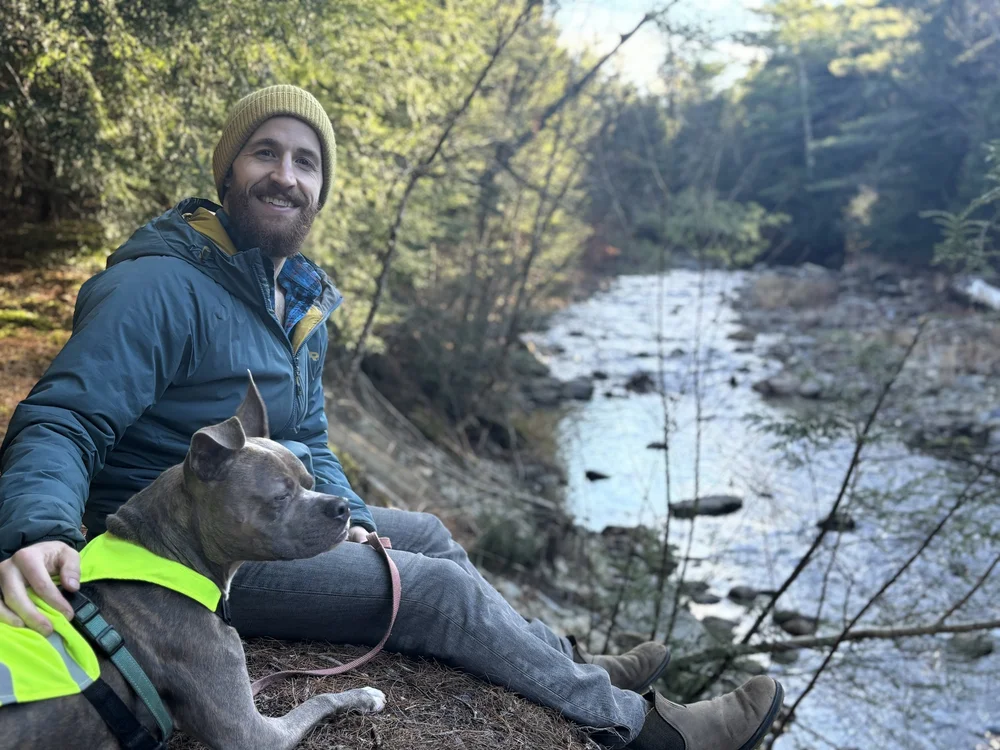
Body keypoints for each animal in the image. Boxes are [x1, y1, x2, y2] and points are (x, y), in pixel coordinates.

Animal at [0, 376, 386, 749]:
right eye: (280, 496)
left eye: (310, 482)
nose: (343, 507)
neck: (167, 557)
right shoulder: (250, 733)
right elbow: (319, 700)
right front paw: (363, 695)